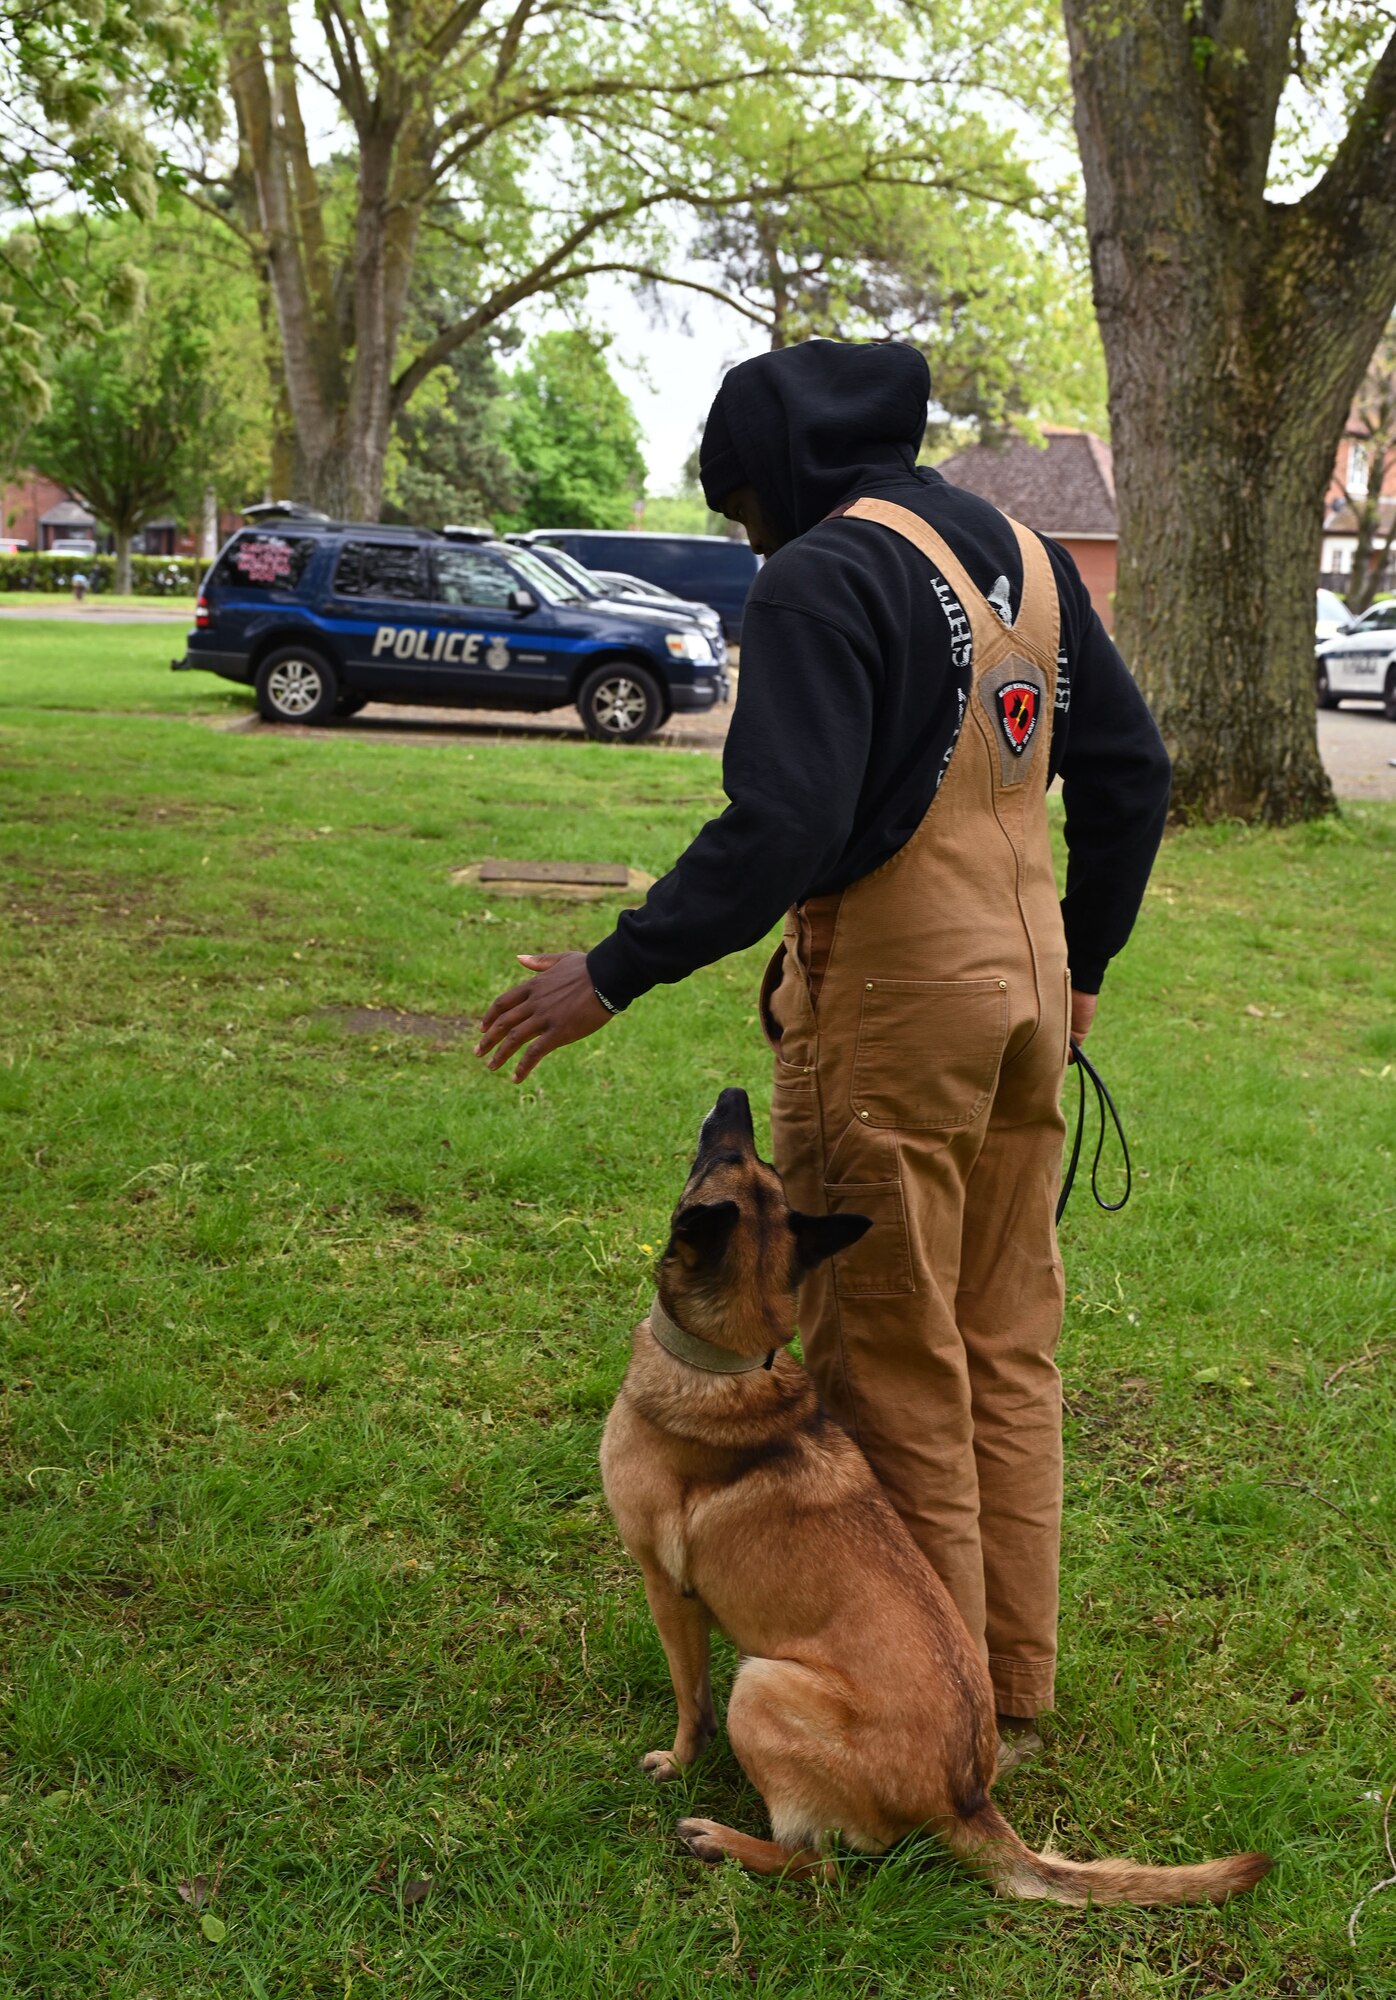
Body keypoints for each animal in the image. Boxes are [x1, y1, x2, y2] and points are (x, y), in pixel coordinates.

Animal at [592, 1088, 1264, 1896]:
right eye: (751, 1162)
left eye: (724, 1156)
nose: (735, 1097)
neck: (730, 1363)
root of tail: (965, 1800)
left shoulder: (668, 1591)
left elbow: (691, 1702)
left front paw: (676, 1764)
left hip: (762, 1685)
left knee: (819, 1866)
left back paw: (720, 1839)